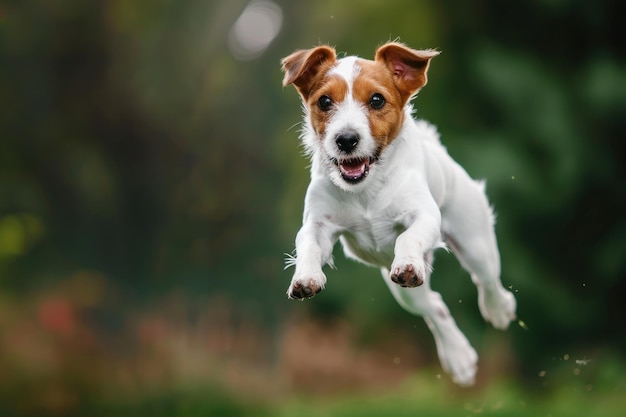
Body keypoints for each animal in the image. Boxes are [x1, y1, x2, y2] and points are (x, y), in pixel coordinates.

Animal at [280, 43, 516, 386]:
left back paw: (499, 310)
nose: (346, 139)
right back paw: (459, 357)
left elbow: (409, 237)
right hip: (404, 293)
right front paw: (306, 277)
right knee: (434, 306)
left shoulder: (425, 216)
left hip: (476, 243)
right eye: (324, 101)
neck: (365, 190)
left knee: (486, 279)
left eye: (377, 100)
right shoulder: (317, 224)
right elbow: (309, 245)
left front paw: (406, 262)